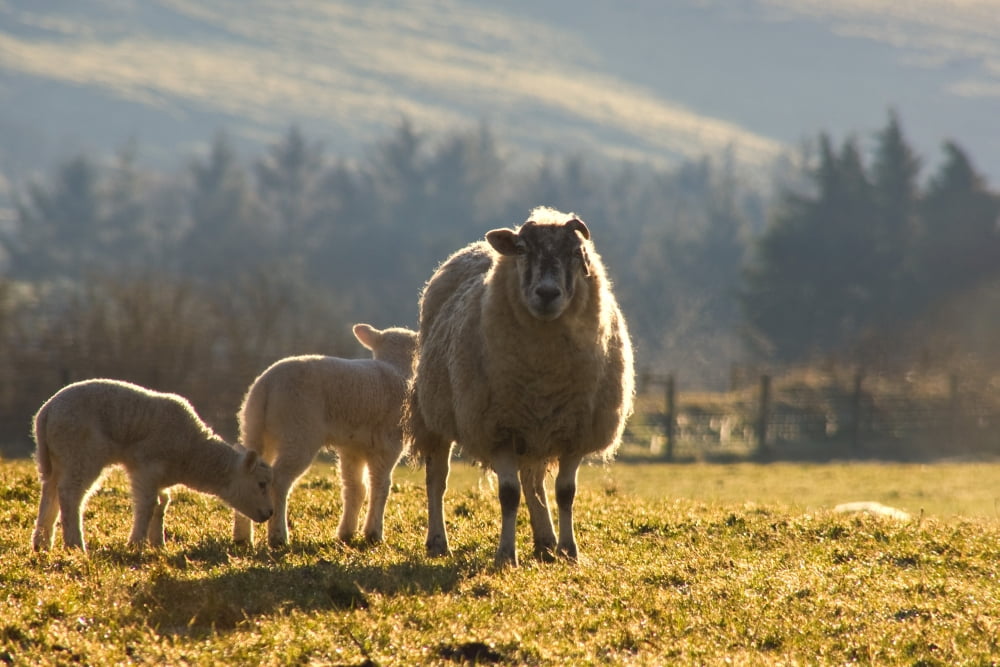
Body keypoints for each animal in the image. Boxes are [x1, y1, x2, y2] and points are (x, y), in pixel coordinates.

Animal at [30, 378, 274, 553]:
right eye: (261, 484)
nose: (270, 513)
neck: (193, 452)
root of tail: (46, 411)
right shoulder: (147, 467)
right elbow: (148, 504)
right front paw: (136, 544)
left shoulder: (159, 476)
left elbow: (162, 504)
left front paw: (158, 545)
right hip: (82, 452)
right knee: (70, 494)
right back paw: (75, 545)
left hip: (59, 456)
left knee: (50, 491)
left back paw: (42, 543)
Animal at [233, 323, 418, 547]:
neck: (396, 368)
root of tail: (267, 385)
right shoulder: (388, 445)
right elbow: (380, 487)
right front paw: (374, 534)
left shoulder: (352, 448)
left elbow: (355, 488)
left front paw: (346, 533)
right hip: (299, 430)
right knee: (279, 480)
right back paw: (278, 536)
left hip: (253, 427)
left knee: (247, 471)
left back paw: (242, 537)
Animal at [406, 206, 635, 567]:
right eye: (523, 250)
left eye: (576, 252)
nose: (547, 293)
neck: (544, 373)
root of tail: (477, 247)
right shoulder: (499, 429)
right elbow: (508, 495)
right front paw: (505, 555)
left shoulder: (575, 432)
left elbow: (565, 494)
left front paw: (569, 550)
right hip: (435, 413)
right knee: (437, 480)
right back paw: (438, 542)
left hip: (535, 430)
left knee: (534, 482)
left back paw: (546, 542)